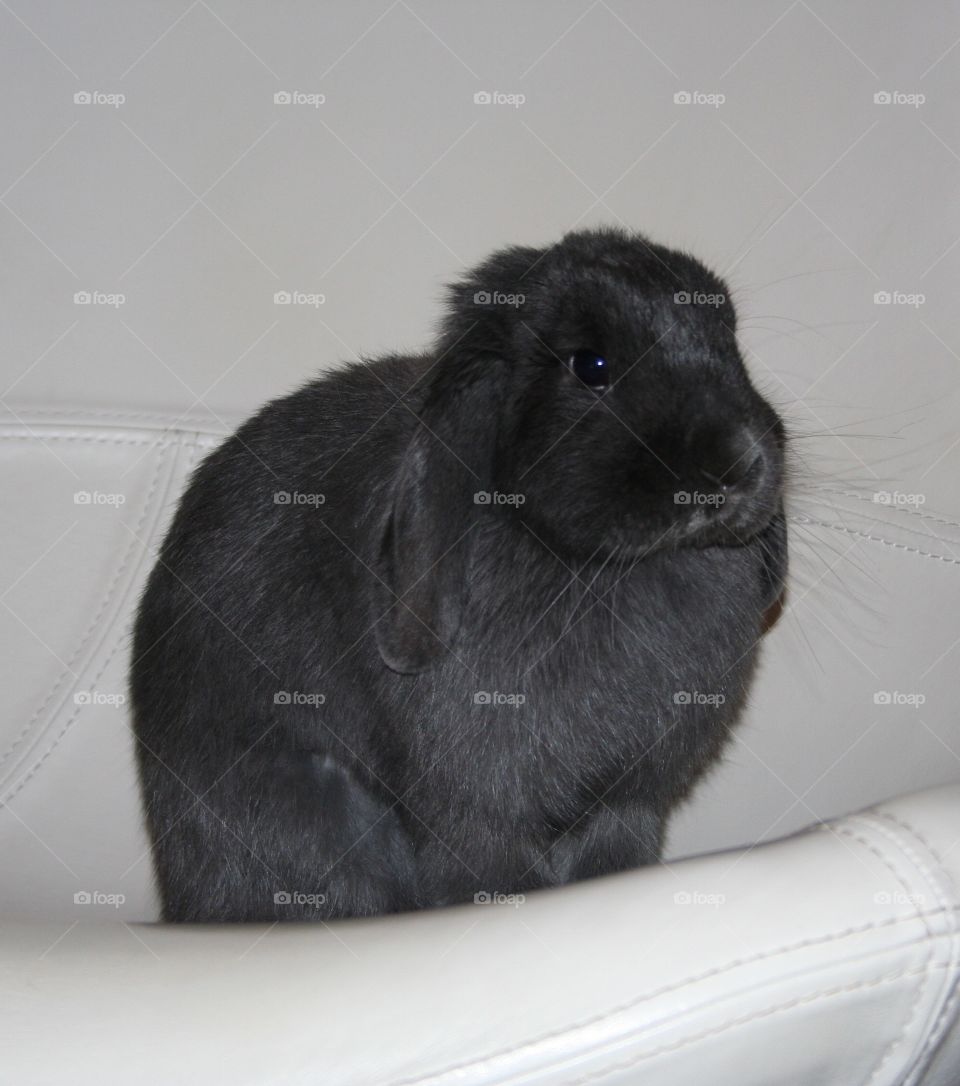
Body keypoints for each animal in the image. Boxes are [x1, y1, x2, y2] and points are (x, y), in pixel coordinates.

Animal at [130, 226, 788, 922]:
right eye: (591, 366)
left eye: (730, 341)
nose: (734, 467)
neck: (591, 564)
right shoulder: (480, 820)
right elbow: (490, 872)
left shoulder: (626, 807)